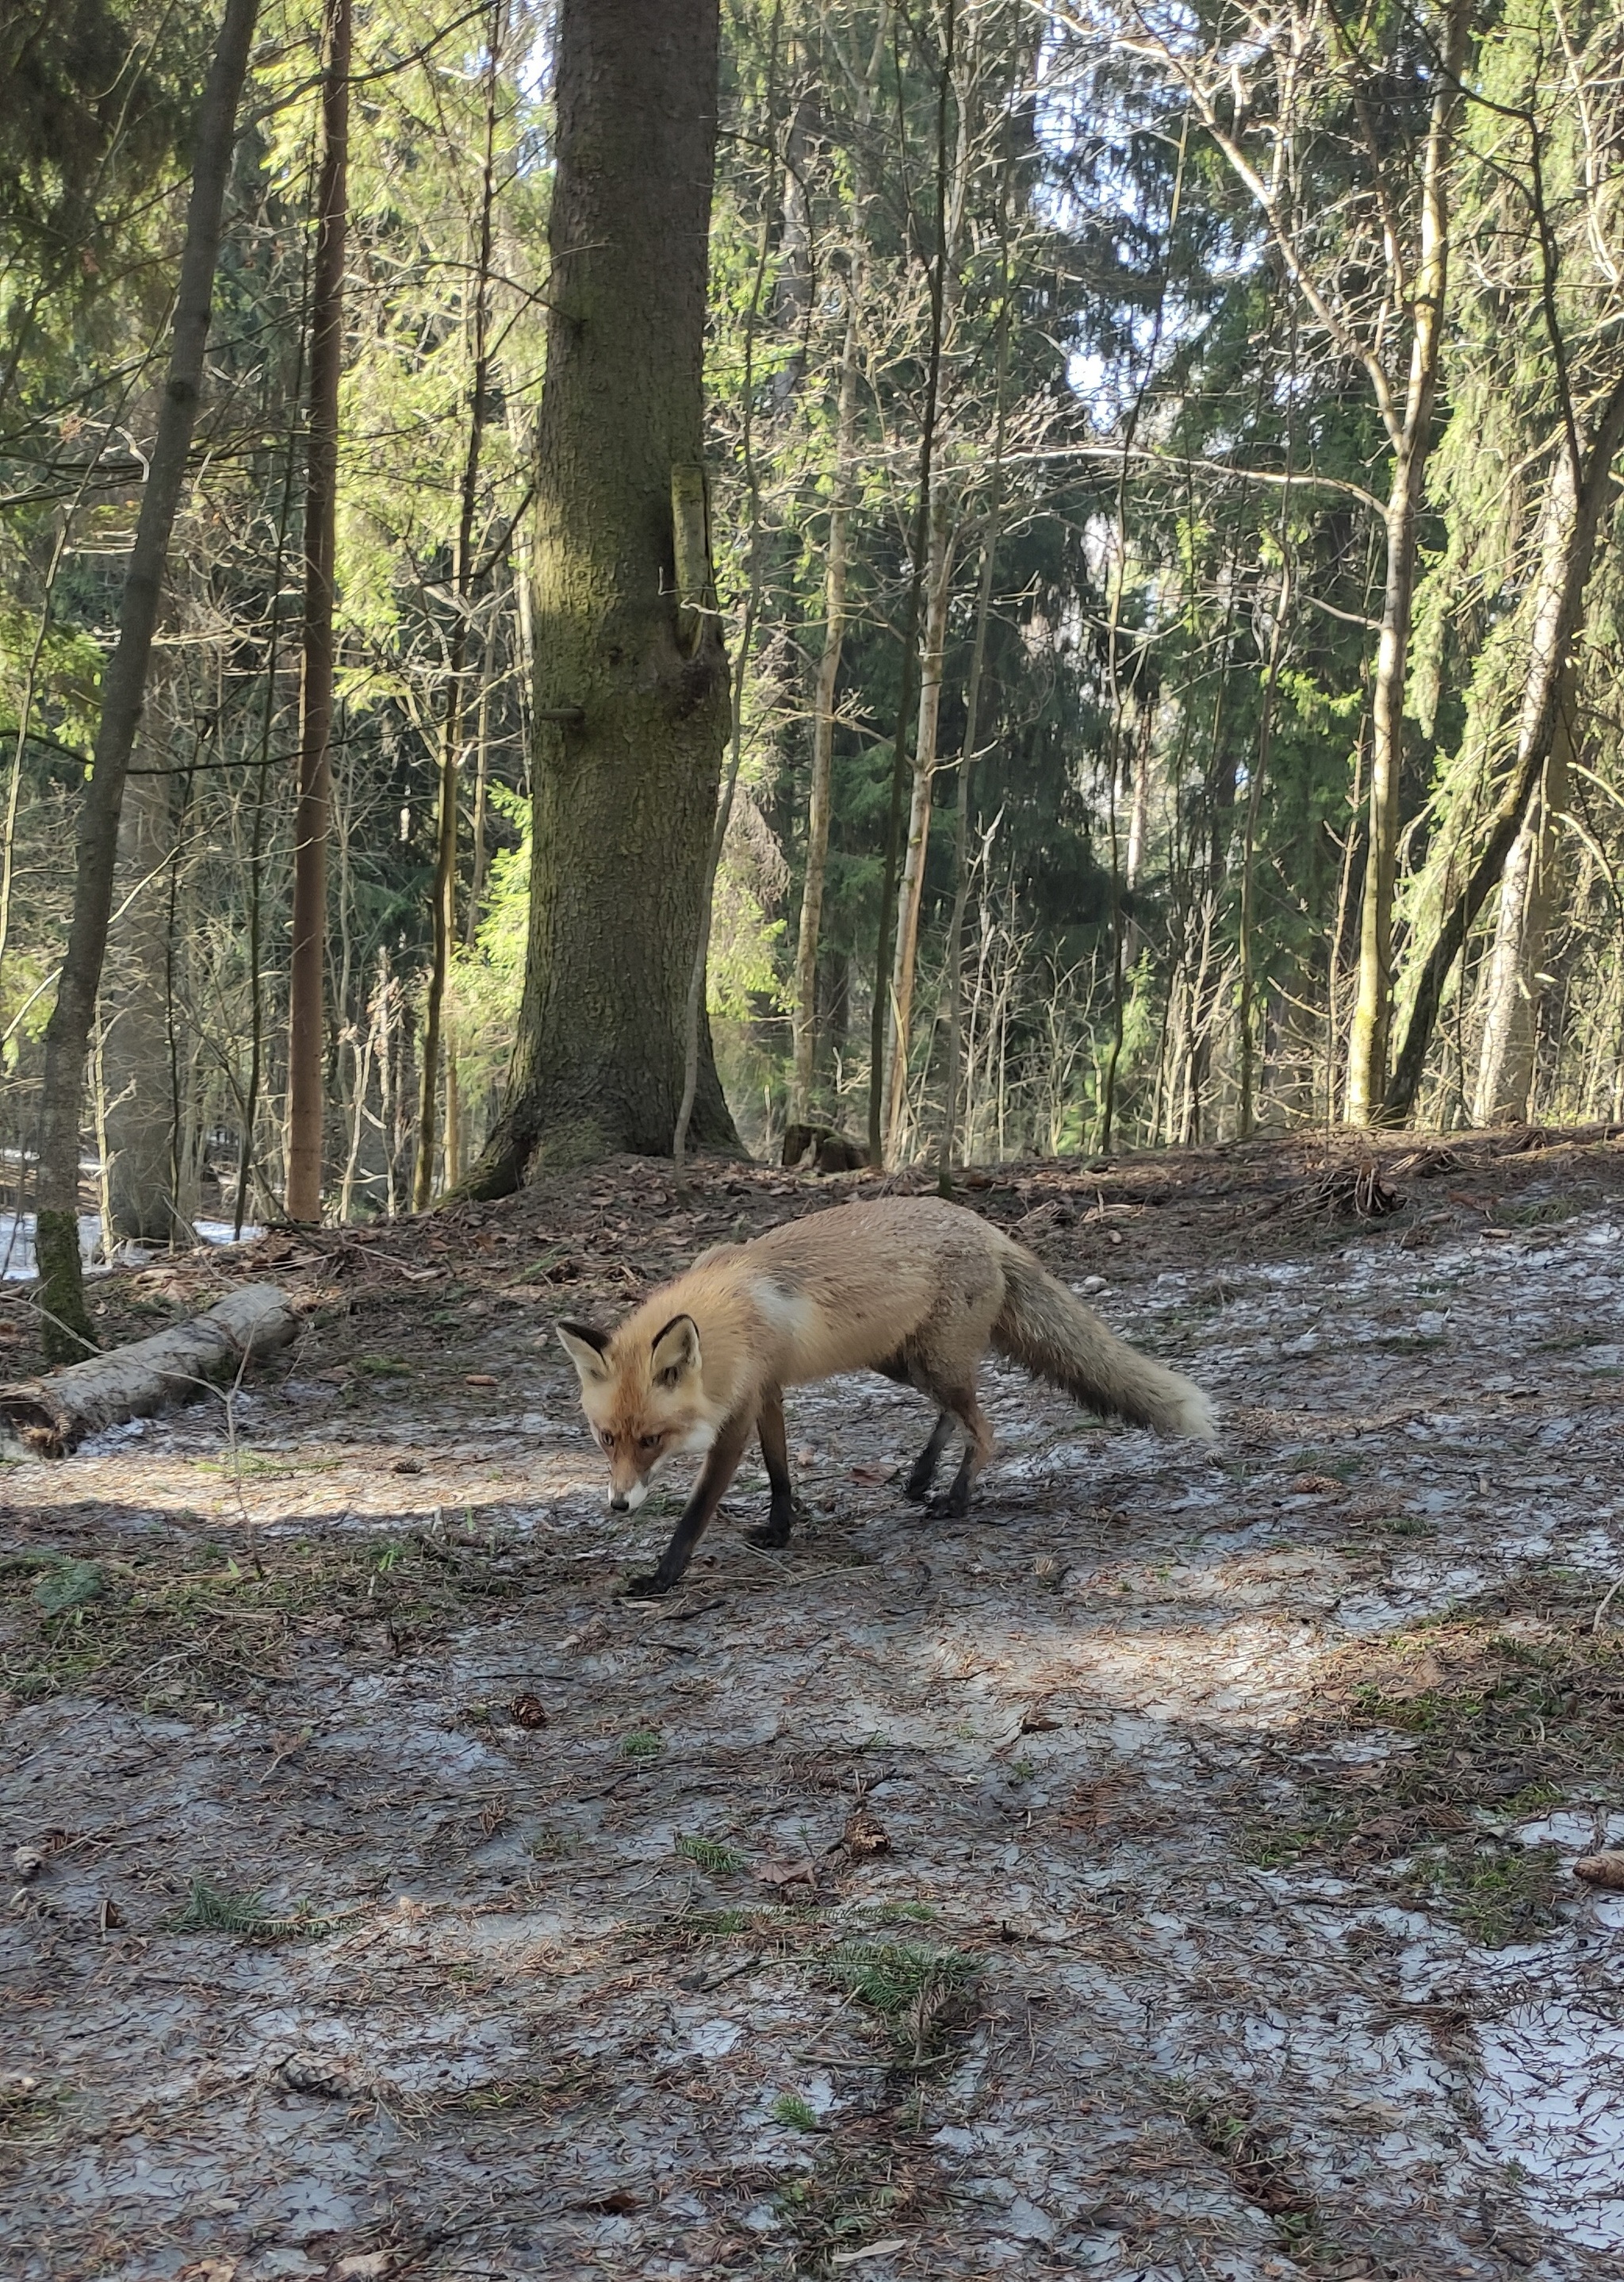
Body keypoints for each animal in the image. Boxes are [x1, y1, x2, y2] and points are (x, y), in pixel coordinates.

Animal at [552, 1205, 1213, 1597]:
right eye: (606, 1438)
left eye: (651, 1440)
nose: (618, 1505)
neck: (727, 1308)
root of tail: (985, 1224)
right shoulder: (768, 1391)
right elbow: (780, 1472)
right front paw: (782, 1529)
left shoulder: (736, 1417)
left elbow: (695, 1513)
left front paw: (662, 1577)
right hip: (904, 1362)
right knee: (959, 1412)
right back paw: (922, 1476)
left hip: (927, 1364)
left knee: (986, 1429)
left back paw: (955, 1499)